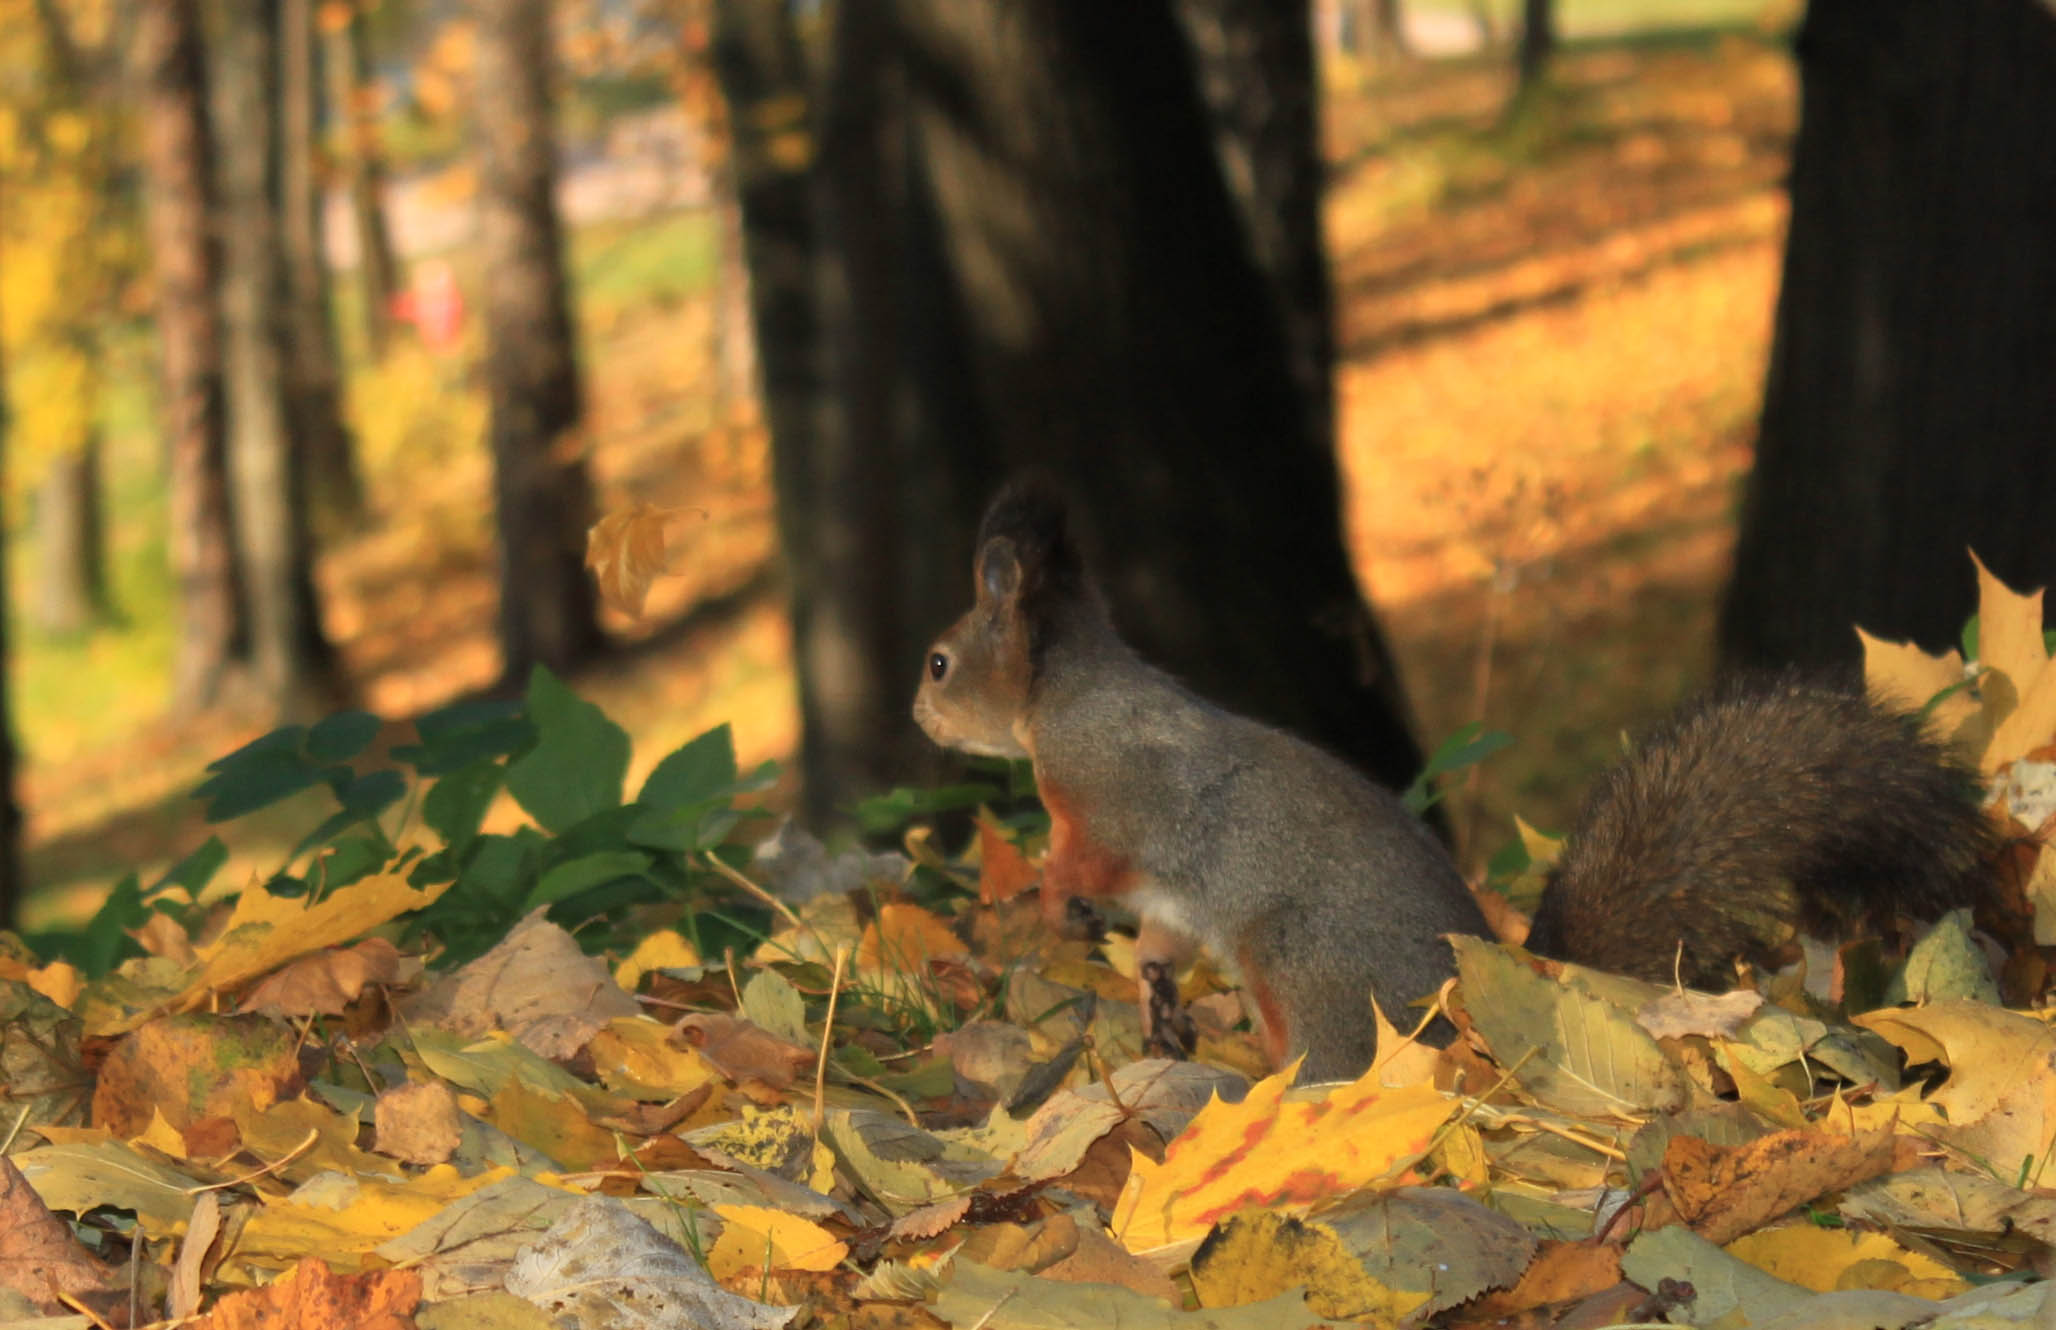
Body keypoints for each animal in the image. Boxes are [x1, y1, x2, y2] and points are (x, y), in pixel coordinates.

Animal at [908, 478, 1998, 1085]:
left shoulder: (1109, 799)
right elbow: (1160, 938)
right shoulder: (1171, 893)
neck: (1066, 698)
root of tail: (1483, 981)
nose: (916, 717)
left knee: (1344, 1061)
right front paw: (1152, 993)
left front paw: (1046, 897)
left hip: (1307, 966)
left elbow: (1086, 856)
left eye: (939, 663)